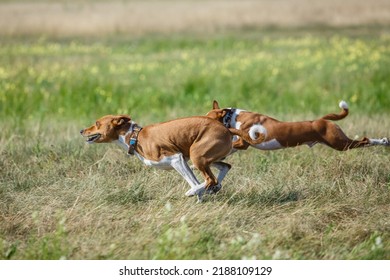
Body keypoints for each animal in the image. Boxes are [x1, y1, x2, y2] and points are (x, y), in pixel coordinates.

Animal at [79, 114, 266, 201]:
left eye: (97, 123)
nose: (81, 130)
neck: (135, 137)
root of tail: (226, 128)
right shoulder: (182, 161)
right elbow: (196, 181)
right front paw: (200, 199)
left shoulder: (176, 159)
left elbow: (194, 182)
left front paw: (194, 193)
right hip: (205, 159)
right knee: (224, 168)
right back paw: (210, 189)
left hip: (197, 156)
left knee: (210, 180)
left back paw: (197, 191)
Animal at [206, 100, 388, 152]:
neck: (234, 116)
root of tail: (321, 120)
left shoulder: (244, 142)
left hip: (340, 144)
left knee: (364, 140)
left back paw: (383, 141)